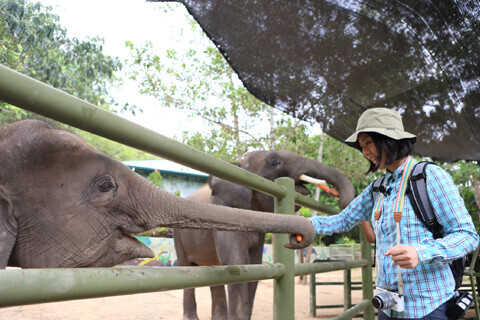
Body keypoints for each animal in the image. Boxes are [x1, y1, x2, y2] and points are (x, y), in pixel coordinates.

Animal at [174, 150, 354, 320]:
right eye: (274, 162)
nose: (337, 197)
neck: (239, 164)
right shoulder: (224, 214)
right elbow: (237, 262)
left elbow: (254, 265)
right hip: (178, 235)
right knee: (186, 267)